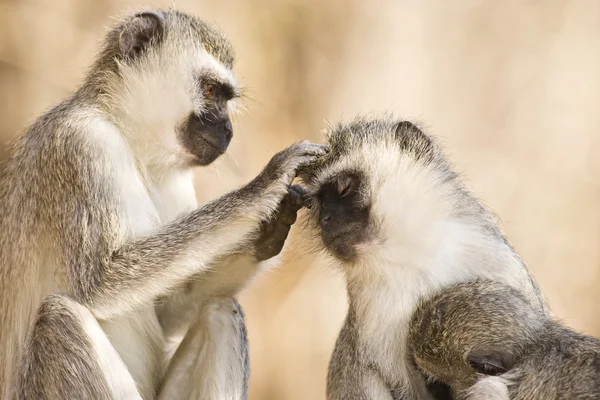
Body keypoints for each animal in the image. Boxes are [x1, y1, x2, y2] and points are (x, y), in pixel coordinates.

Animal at [0, 9, 326, 400]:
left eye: (226, 98)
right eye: (211, 90)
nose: (228, 130)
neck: (130, 139)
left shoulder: (176, 182)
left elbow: (166, 309)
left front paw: (271, 226)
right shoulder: (80, 144)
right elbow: (99, 282)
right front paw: (263, 188)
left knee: (222, 311)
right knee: (60, 318)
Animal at [298, 116, 552, 400]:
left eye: (343, 187)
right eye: (317, 203)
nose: (325, 220)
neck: (414, 253)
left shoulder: (498, 261)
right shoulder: (373, 309)